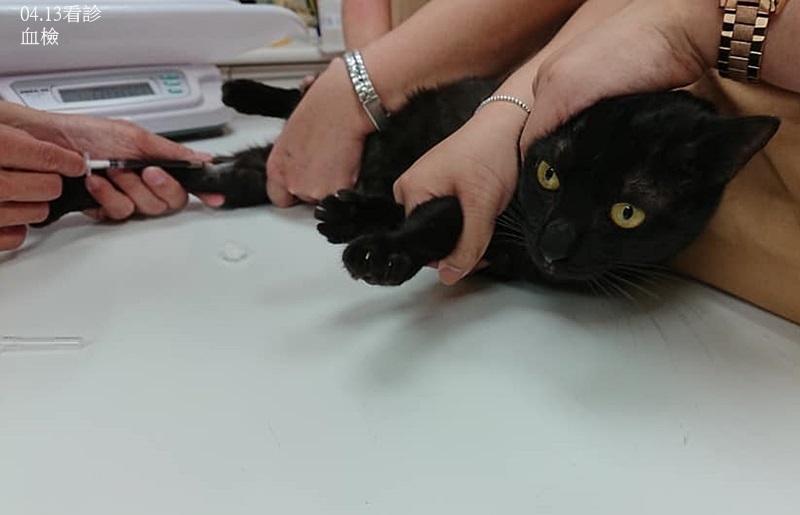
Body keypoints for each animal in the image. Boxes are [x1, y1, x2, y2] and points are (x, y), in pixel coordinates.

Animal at [39, 78, 779, 291]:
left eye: (627, 212)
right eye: (547, 173)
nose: (554, 242)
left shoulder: (499, 244)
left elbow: (435, 223)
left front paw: (370, 234)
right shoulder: (482, 181)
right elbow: (443, 212)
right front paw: (375, 246)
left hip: (247, 177)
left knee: (208, 173)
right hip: (396, 114)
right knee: (314, 101)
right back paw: (243, 90)